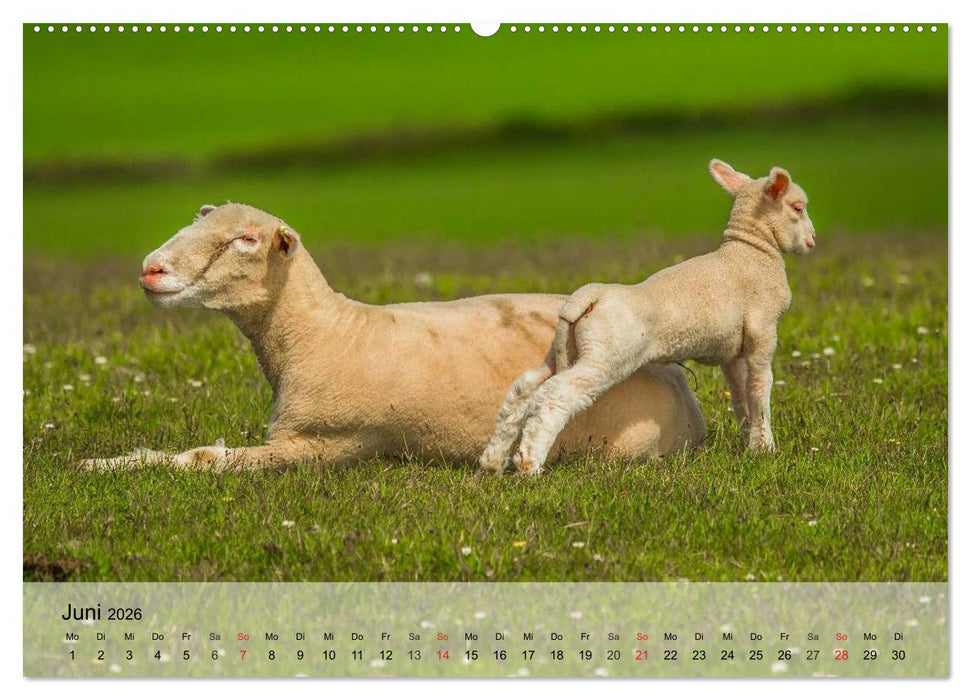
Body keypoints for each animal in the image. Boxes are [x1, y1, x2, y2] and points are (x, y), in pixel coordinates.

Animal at [82, 202, 707, 471]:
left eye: (246, 240)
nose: (151, 269)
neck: (325, 332)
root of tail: (685, 393)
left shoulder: (323, 444)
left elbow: (204, 459)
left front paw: (111, 466)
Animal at [479, 159, 815, 476]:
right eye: (798, 207)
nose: (812, 240)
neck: (751, 252)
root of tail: (588, 296)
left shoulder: (731, 352)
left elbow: (740, 397)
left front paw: (750, 444)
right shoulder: (763, 331)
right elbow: (759, 389)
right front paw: (767, 449)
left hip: (566, 349)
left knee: (525, 388)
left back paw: (492, 461)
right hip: (606, 356)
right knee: (555, 394)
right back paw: (530, 464)